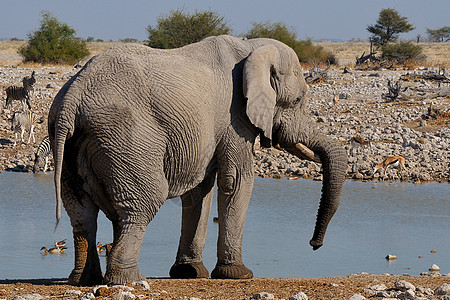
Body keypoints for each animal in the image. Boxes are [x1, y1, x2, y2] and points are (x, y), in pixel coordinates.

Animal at [47, 35, 346, 286]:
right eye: (297, 100)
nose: (314, 245)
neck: (252, 47)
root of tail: (72, 96)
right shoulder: (235, 117)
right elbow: (236, 181)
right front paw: (238, 274)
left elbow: (199, 190)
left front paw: (189, 272)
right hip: (125, 137)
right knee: (143, 202)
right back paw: (129, 280)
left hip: (72, 142)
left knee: (81, 211)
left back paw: (83, 280)